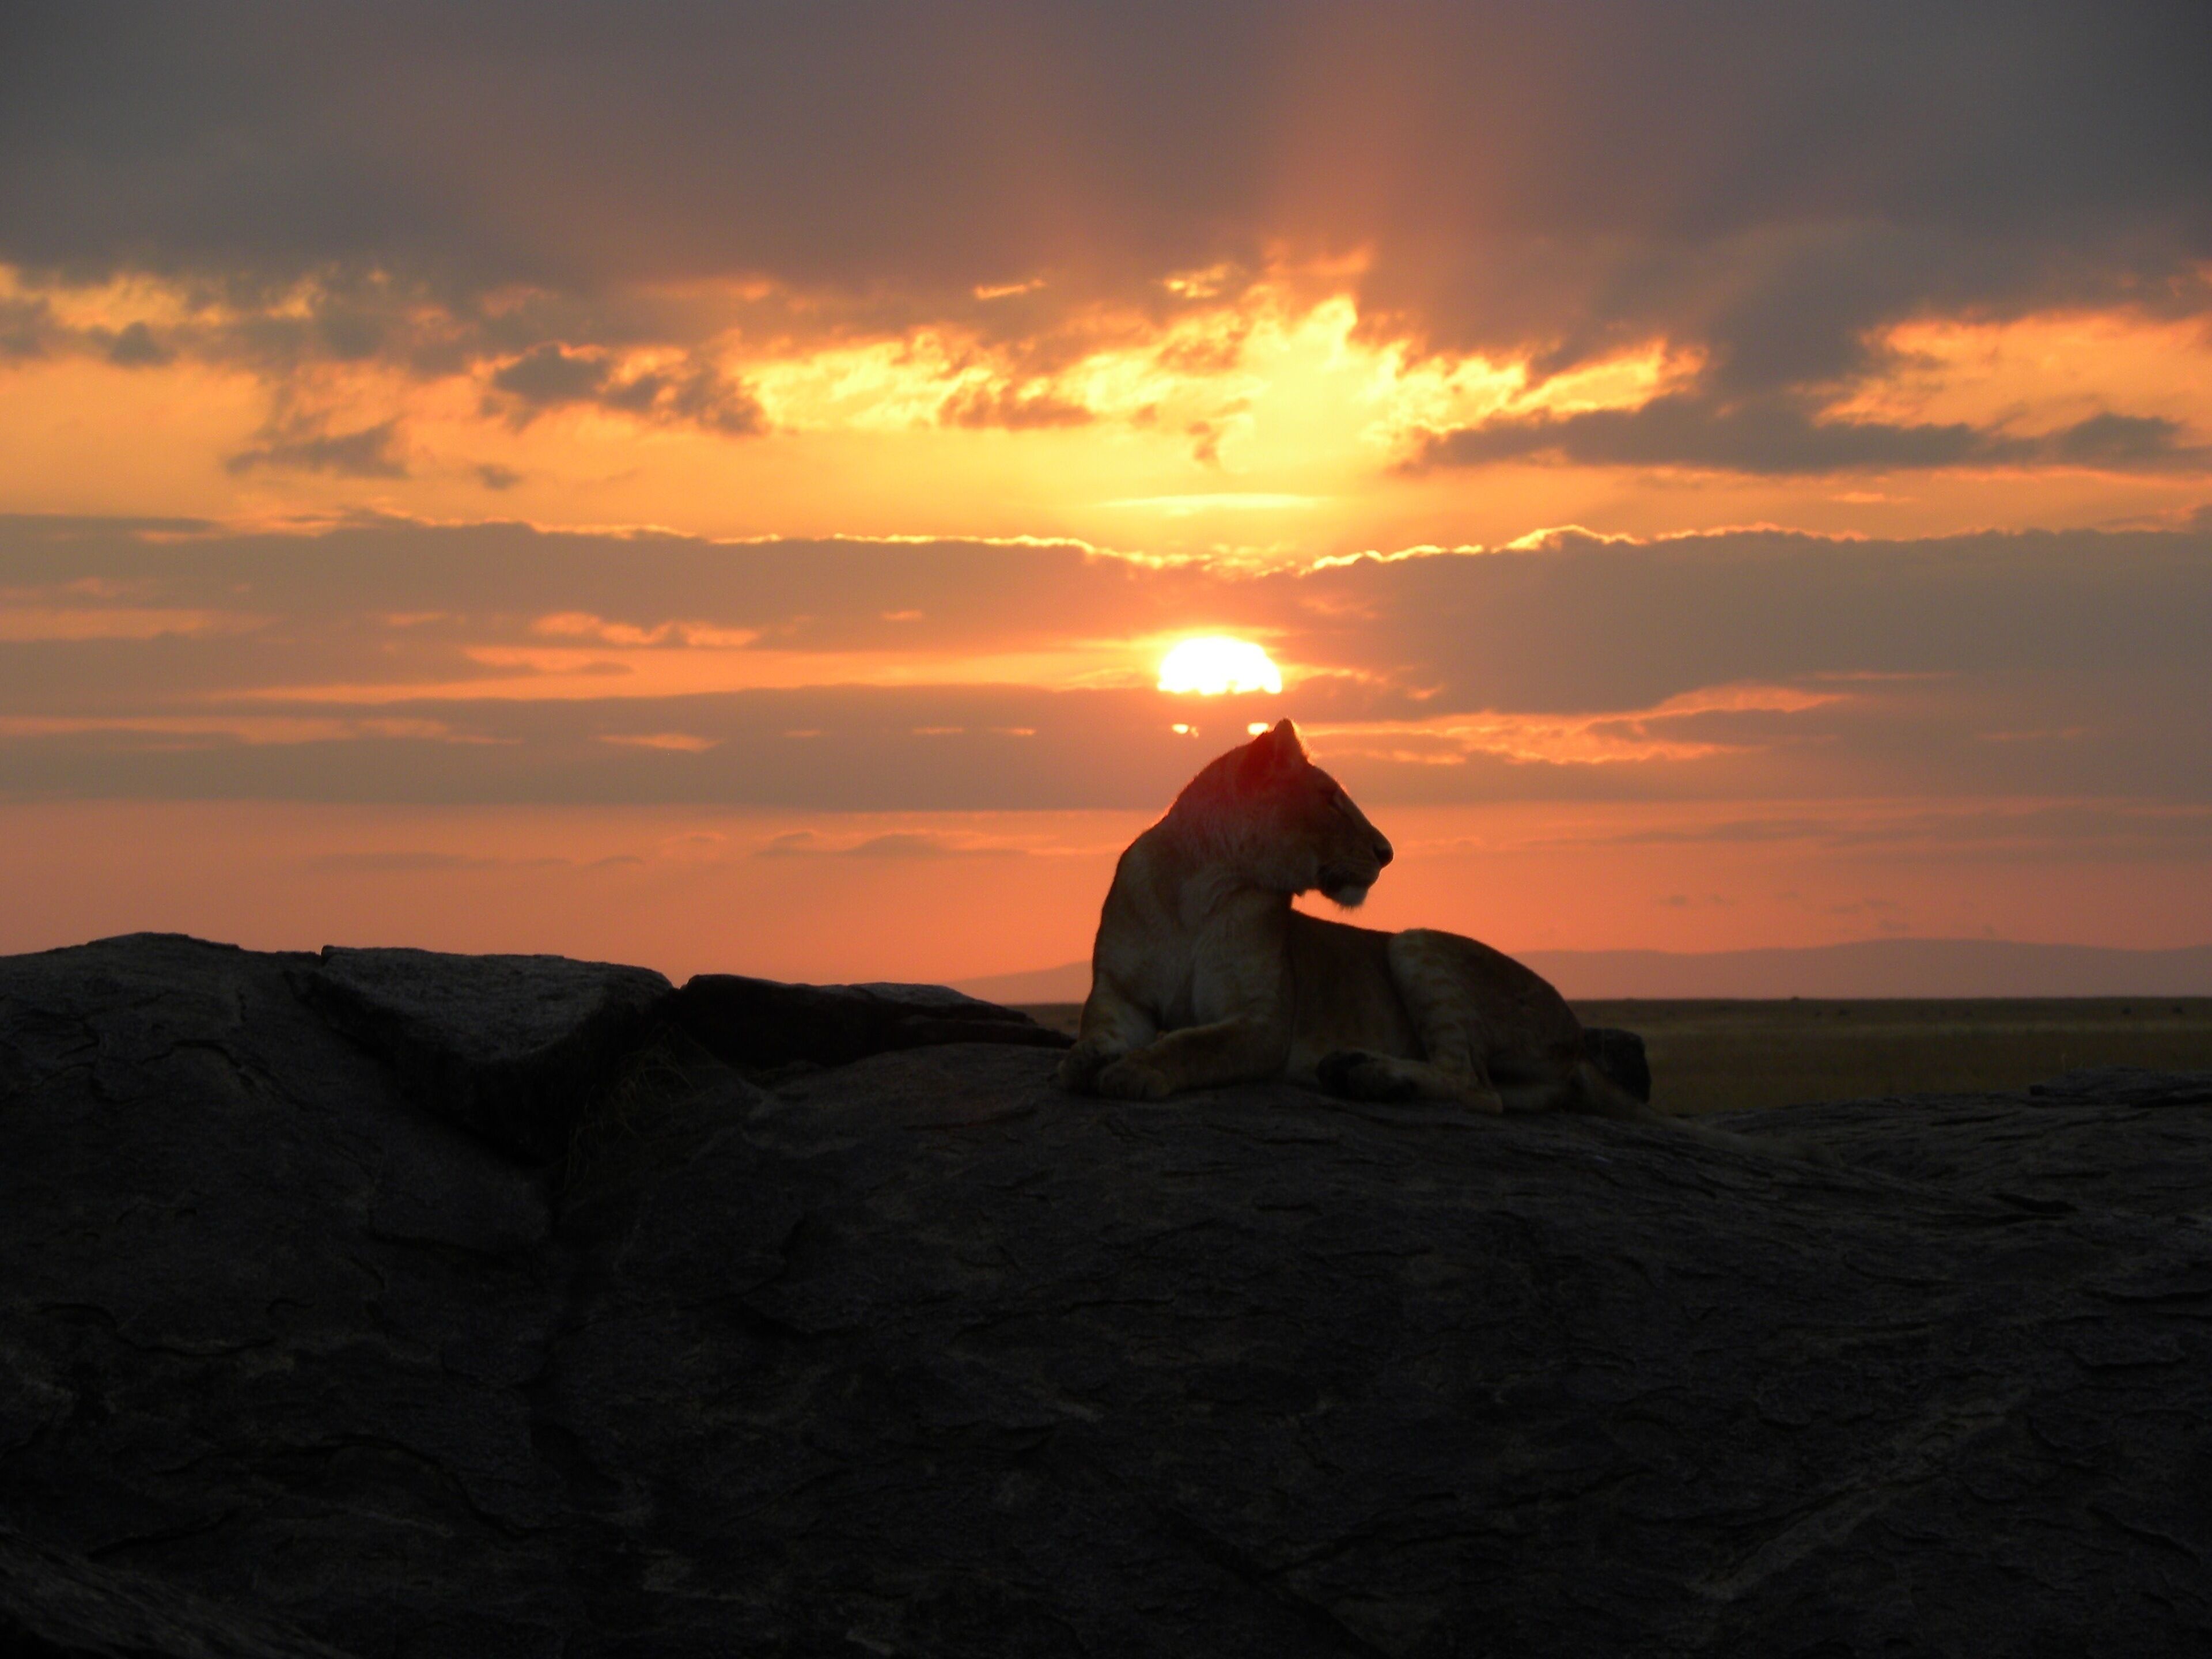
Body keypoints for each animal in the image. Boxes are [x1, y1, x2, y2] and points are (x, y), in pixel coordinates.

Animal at [1056, 718, 1653, 1120]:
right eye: (1329, 799)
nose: (1387, 852)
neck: (1203, 885)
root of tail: (1578, 1037)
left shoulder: (1261, 1021)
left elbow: (1194, 1044)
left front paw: (1137, 1070)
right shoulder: (1120, 991)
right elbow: (1098, 1028)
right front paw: (1087, 1058)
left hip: (1414, 942)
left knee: (1477, 1088)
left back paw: (1369, 1075)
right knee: (1496, 1091)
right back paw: (1353, 1071)